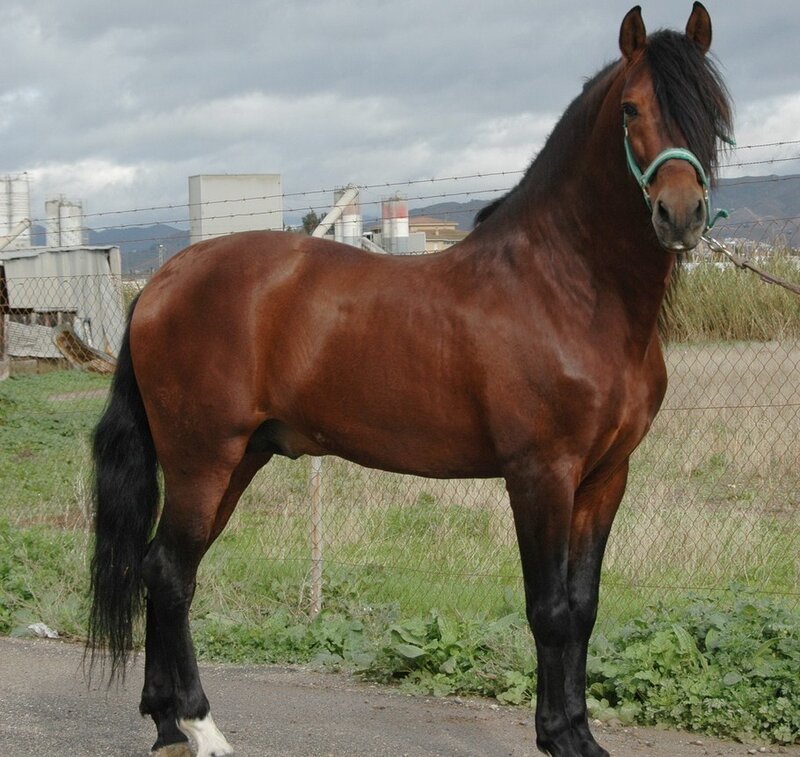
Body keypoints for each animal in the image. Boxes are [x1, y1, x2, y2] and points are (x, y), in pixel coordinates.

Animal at [88, 4, 733, 755]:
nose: (680, 215)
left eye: (712, 110)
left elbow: (584, 608)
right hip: (203, 460)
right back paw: (199, 725)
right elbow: (550, 610)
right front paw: (558, 736)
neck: (567, 289)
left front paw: (579, 733)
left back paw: (166, 722)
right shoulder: (540, 473)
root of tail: (162, 280)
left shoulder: (605, 478)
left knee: (167, 571)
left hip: (238, 460)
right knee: (167, 572)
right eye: (631, 109)